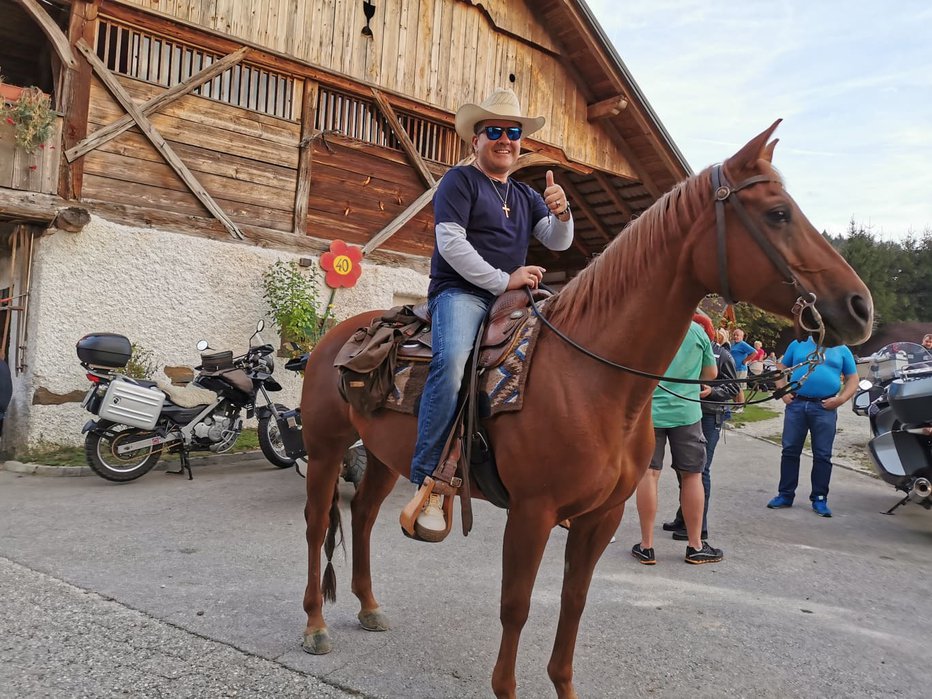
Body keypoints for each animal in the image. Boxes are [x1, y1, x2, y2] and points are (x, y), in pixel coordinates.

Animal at [298, 123, 872, 696]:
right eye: (778, 213)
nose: (861, 307)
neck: (591, 380)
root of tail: (336, 336)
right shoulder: (531, 514)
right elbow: (516, 606)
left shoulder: (602, 516)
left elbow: (573, 603)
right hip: (325, 450)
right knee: (316, 523)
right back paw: (315, 626)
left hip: (382, 457)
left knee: (364, 515)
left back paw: (369, 607)